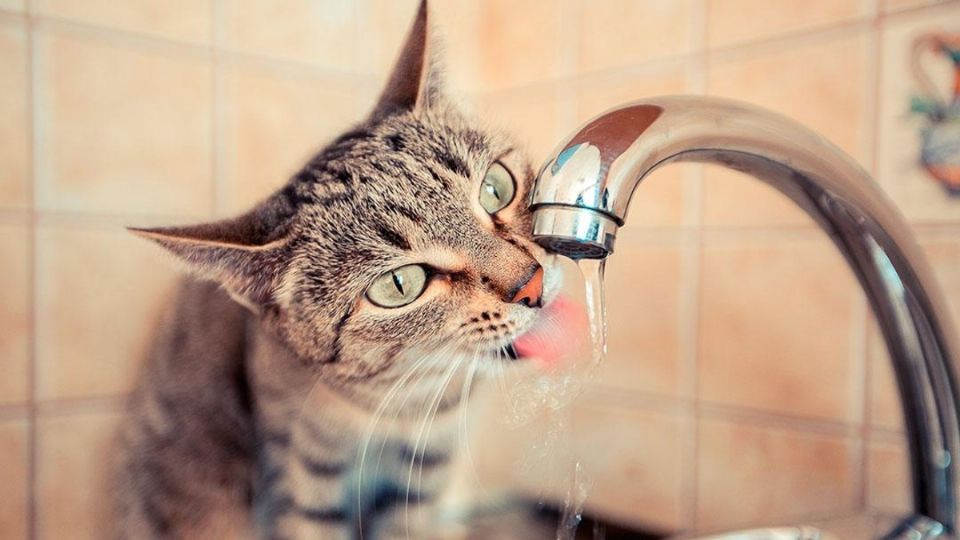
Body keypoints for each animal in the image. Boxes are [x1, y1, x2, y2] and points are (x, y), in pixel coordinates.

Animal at [115, 2, 572, 536]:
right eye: (399, 284)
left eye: (495, 188)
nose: (530, 283)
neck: (402, 408)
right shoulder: (301, 473)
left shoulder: (426, 472)